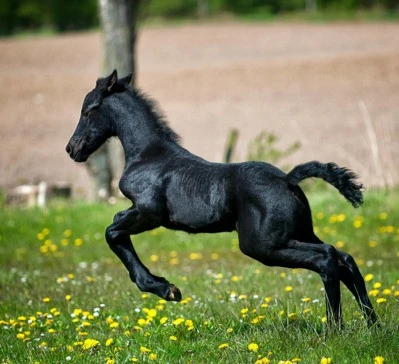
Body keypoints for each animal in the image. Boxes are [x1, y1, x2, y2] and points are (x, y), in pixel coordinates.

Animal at [65, 71, 378, 328]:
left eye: (88, 110)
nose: (72, 149)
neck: (149, 155)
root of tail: (288, 179)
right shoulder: (139, 212)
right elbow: (116, 228)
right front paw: (164, 286)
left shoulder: (148, 213)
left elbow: (112, 232)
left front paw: (166, 289)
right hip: (297, 233)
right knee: (344, 257)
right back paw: (372, 325)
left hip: (263, 245)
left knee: (326, 258)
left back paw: (334, 328)